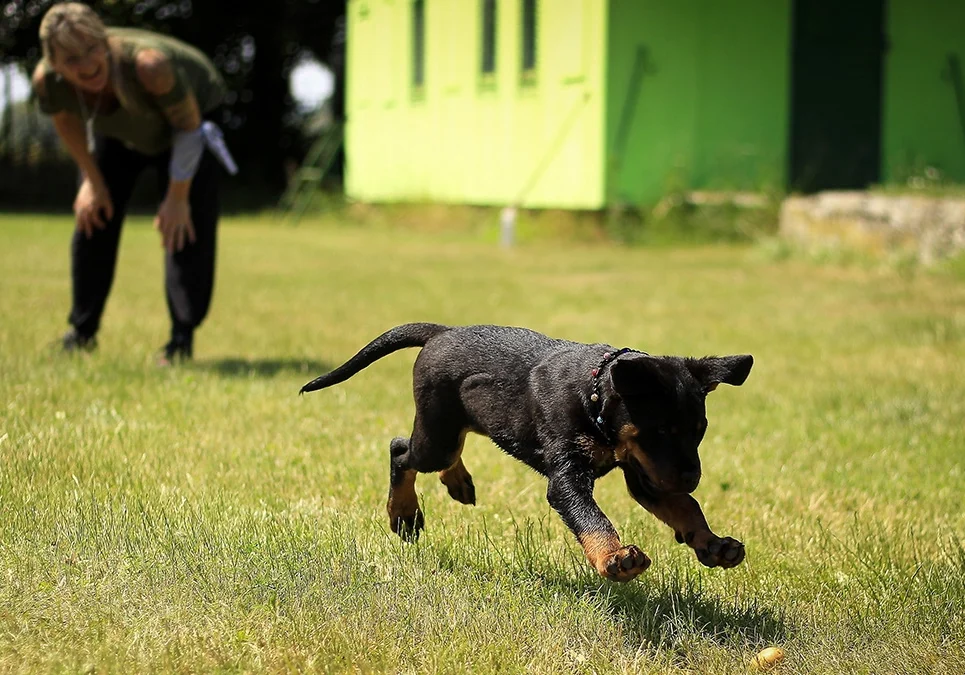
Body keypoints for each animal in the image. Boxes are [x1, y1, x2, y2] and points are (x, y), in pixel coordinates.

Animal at [302, 322, 752, 580]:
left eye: (699, 431)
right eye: (659, 430)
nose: (692, 477)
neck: (593, 396)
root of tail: (442, 332)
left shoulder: (646, 474)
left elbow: (686, 507)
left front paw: (713, 544)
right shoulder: (570, 477)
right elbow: (592, 518)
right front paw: (614, 558)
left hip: (458, 424)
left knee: (446, 450)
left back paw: (458, 483)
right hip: (437, 434)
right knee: (401, 450)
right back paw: (405, 514)